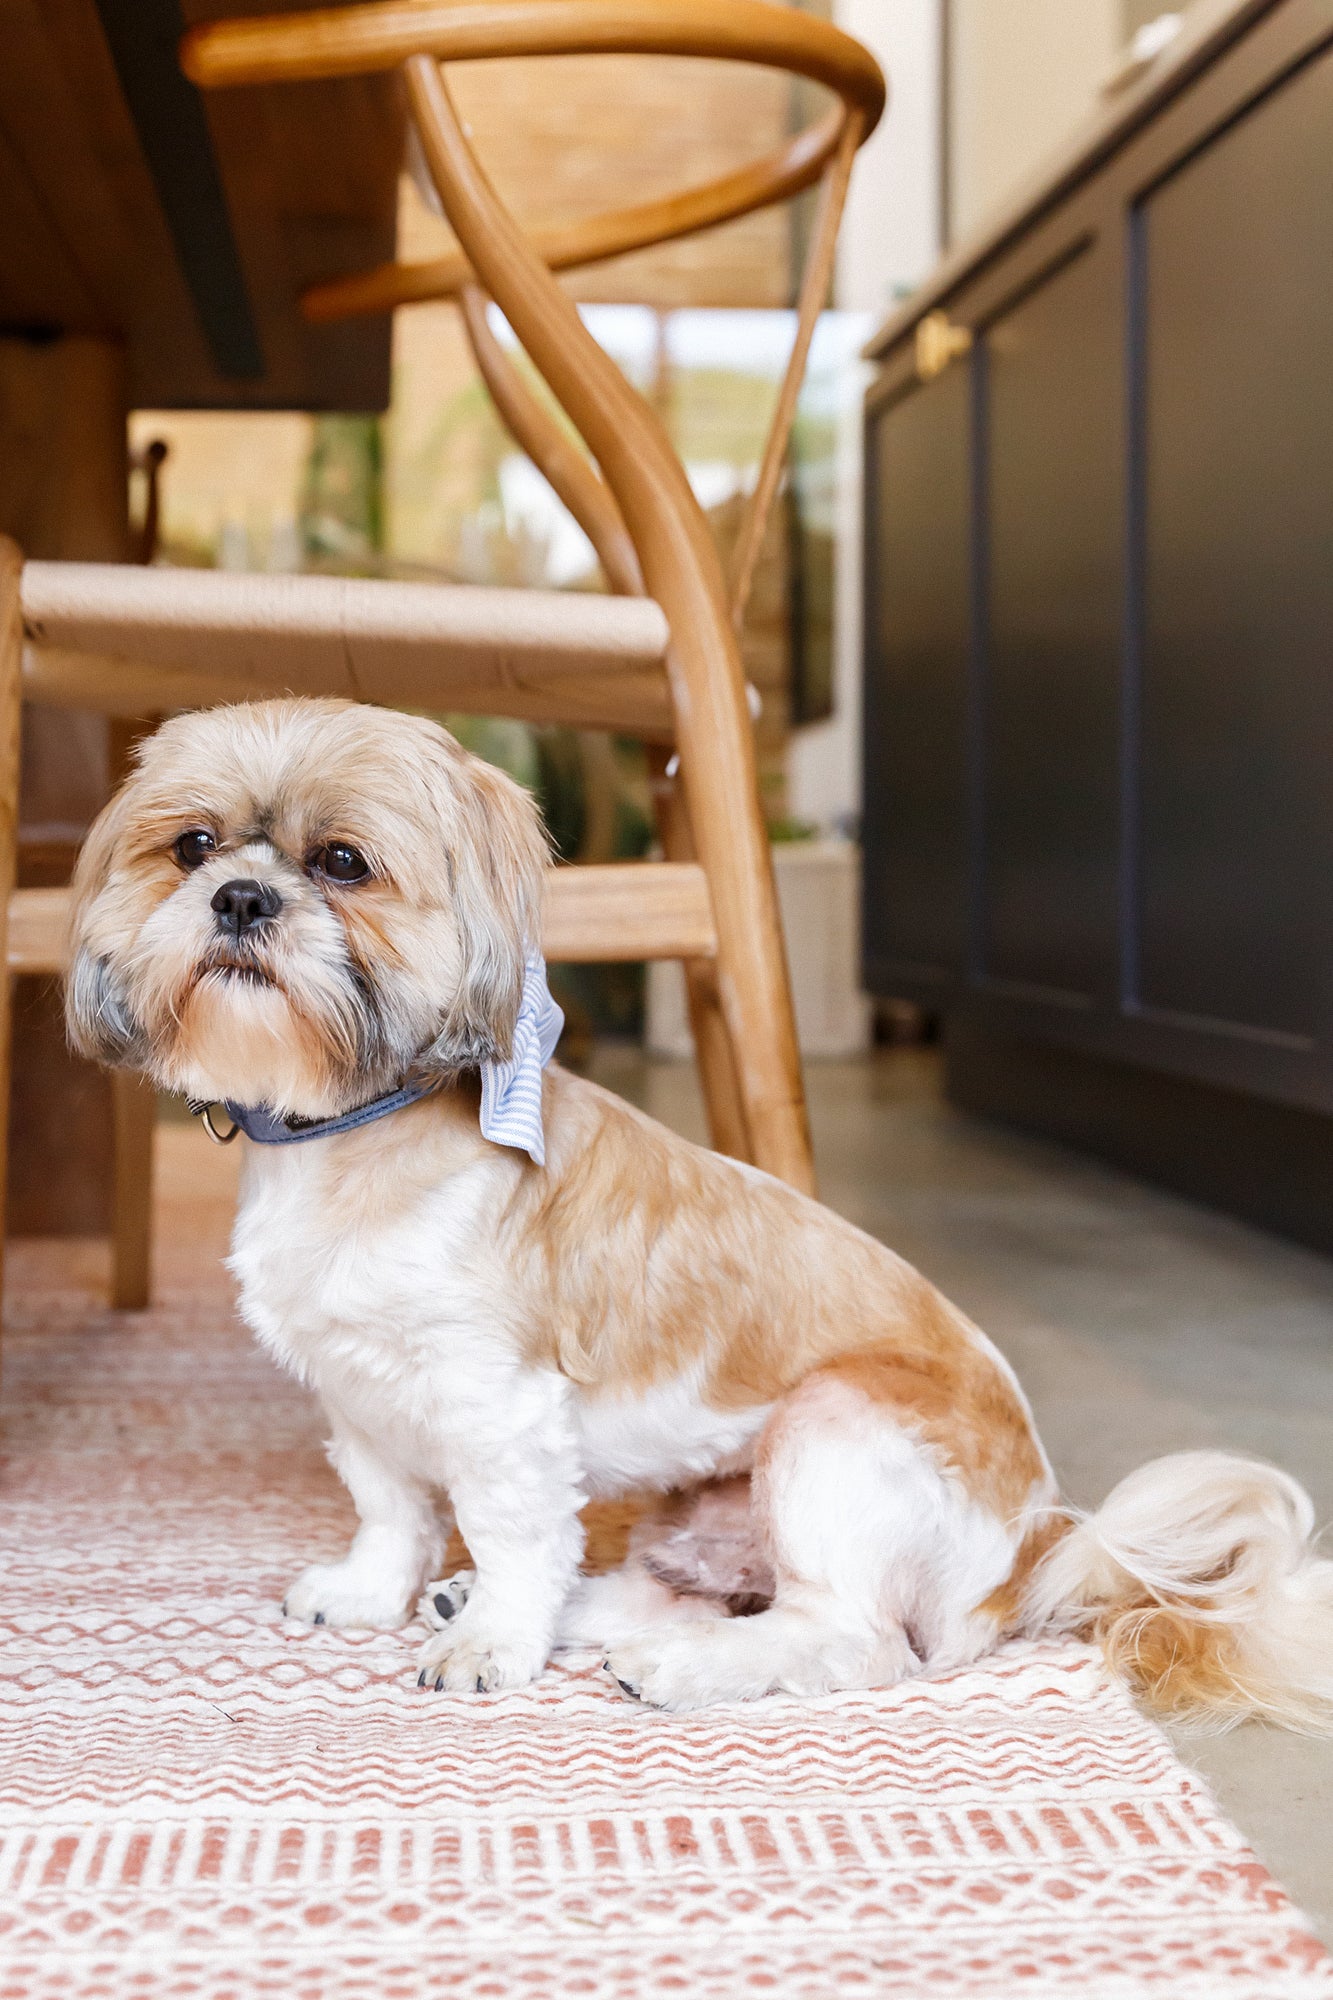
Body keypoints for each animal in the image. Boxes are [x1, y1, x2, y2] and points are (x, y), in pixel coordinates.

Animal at [62, 700, 1328, 1720]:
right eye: (190, 845)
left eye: (342, 861)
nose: (238, 895)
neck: (354, 1131)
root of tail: (1038, 1537)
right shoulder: (355, 1388)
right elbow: (390, 1506)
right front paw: (379, 1589)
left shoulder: (500, 1404)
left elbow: (511, 1524)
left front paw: (492, 1645)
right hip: (706, 1503)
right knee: (689, 1590)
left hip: (828, 1429)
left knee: (853, 1638)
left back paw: (682, 1668)